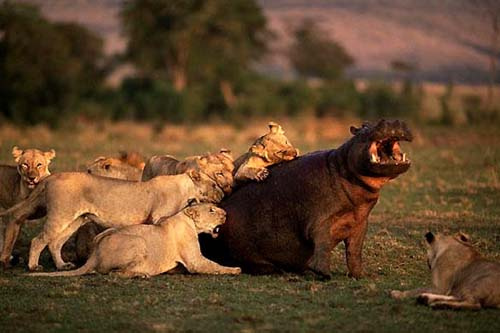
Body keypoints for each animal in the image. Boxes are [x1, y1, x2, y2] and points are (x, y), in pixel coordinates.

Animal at [28, 204, 241, 276]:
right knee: (115, 273)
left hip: (103, 234)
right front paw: (235, 270)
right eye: (212, 210)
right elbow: (214, 266)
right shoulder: (195, 261)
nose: (225, 214)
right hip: (138, 242)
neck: (186, 219)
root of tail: (94, 255)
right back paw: (142, 274)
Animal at [201, 119, 412, 278]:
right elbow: (323, 244)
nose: (390, 121)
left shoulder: (360, 224)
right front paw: (323, 274)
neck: (344, 168)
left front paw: (362, 276)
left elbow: (354, 252)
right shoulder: (321, 220)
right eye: (363, 128)